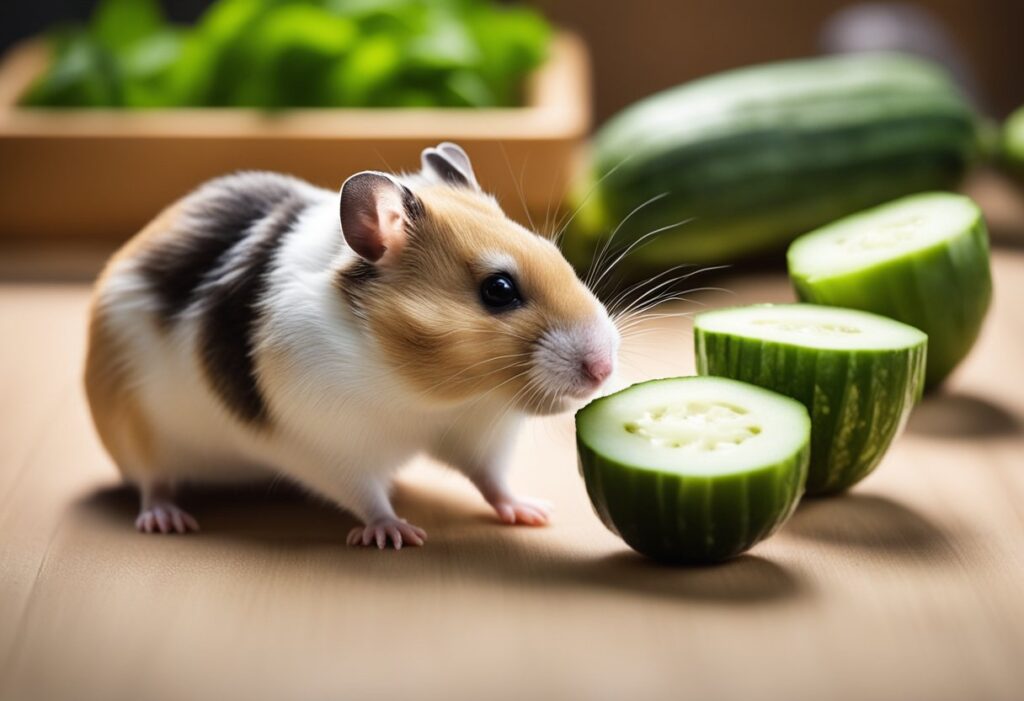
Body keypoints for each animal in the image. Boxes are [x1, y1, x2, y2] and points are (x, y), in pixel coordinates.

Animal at [84, 142, 619, 549]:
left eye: (554, 253)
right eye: (499, 290)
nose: (604, 369)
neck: (420, 390)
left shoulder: (478, 432)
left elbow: (492, 480)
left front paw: (534, 513)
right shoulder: (328, 442)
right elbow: (367, 496)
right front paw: (398, 534)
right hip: (137, 430)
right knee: (153, 482)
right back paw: (168, 521)